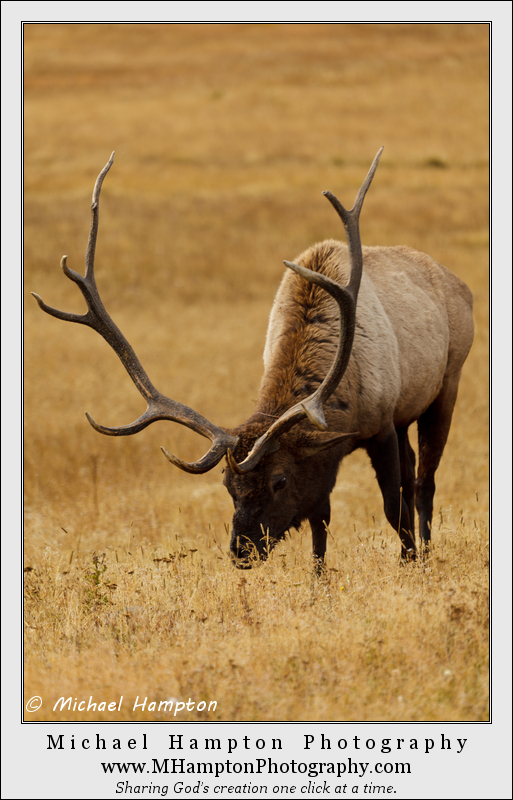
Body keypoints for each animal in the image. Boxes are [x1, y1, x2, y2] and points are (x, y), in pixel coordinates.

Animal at [32, 149, 474, 570]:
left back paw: (427, 550)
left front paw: (410, 562)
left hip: (446, 385)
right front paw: (319, 582)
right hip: (408, 414)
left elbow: (392, 506)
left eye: (279, 480)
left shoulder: (380, 423)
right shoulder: (327, 457)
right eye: (227, 485)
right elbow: (320, 522)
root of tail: (460, 283)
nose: (241, 551)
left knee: (423, 481)